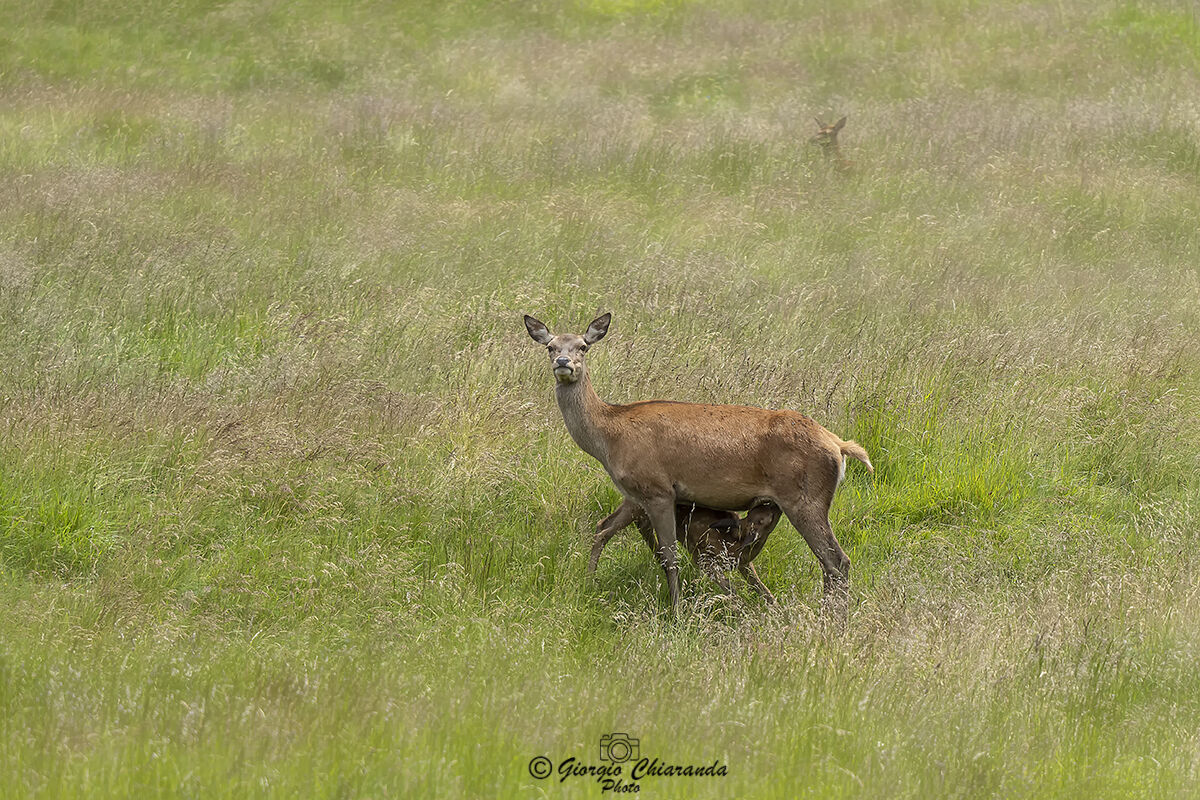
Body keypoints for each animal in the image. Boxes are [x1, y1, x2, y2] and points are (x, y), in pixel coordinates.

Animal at [589, 499, 783, 602]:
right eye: (764, 517)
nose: (775, 504)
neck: (733, 546)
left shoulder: (743, 563)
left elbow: (760, 586)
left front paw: (777, 609)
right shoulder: (703, 559)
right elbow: (731, 588)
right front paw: (742, 608)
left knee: (606, 524)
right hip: (637, 505)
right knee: (606, 531)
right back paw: (590, 579)